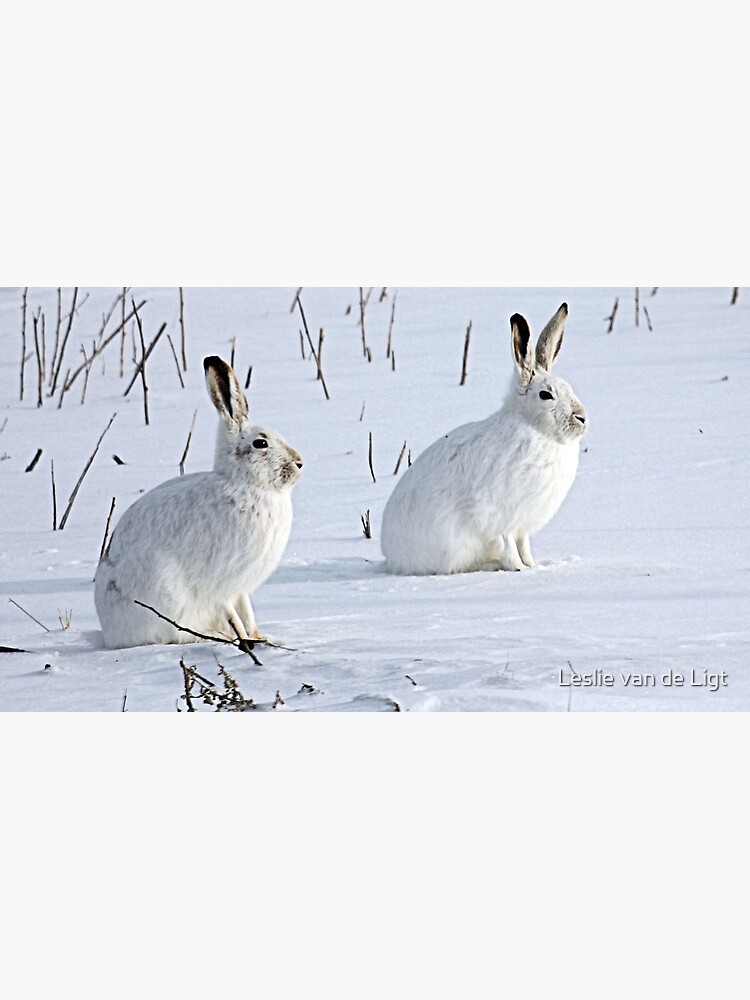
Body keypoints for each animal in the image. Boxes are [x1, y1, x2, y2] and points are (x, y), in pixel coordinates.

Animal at [94, 356, 303, 648]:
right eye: (260, 443)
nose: (299, 463)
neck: (245, 484)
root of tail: (113, 634)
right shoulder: (219, 581)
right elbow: (231, 611)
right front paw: (245, 641)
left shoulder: (240, 587)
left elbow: (246, 610)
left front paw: (259, 637)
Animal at [380, 302, 587, 575]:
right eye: (545, 395)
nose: (582, 418)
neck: (535, 429)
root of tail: (393, 558)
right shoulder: (498, 514)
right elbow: (507, 543)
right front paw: (519, 569)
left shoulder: (522, 522)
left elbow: (523, 543)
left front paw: (531, 565)